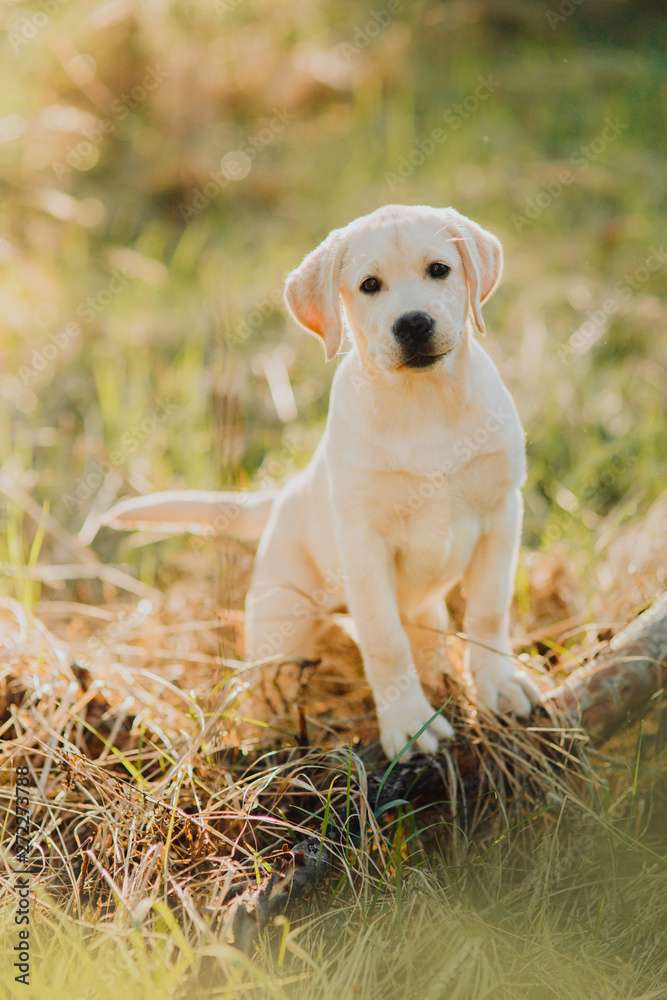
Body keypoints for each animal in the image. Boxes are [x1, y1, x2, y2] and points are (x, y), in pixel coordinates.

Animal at [104, 209, 544, 756]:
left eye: (439, 270)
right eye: (369, 285)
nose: (413, 323)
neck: (423, 402)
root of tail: (282, 495)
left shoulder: (501, 515)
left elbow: (487, 612)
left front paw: (498, 687)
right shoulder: (364, 544)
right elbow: (384, 640)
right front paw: (410, 722)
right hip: (281, 610)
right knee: (268, 673)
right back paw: (264, 734)